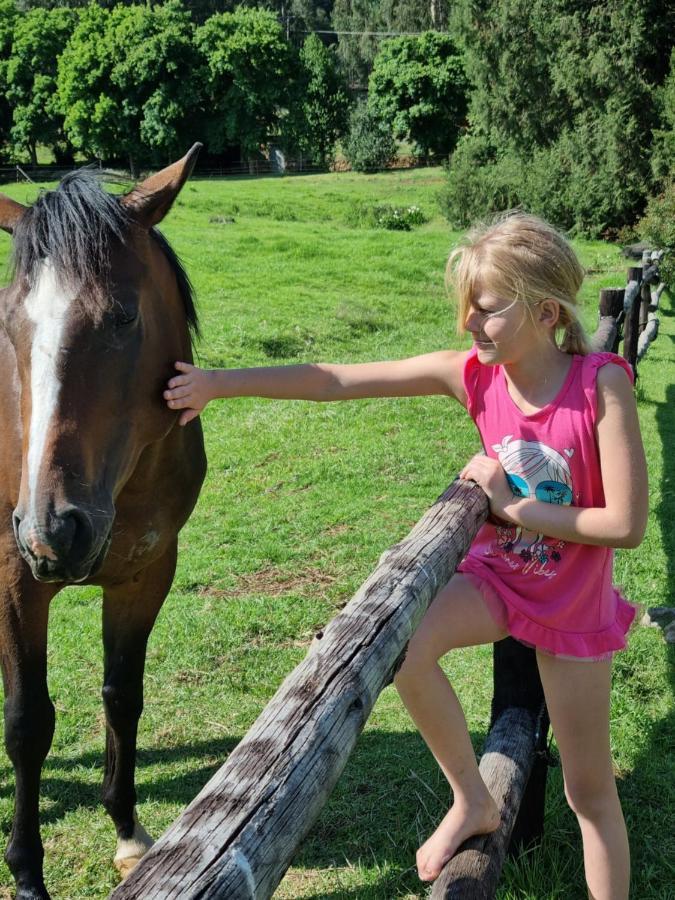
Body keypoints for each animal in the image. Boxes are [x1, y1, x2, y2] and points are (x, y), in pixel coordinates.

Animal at [0, 144, 207, 896]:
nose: (54, 530)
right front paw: (27, 872)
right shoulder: (15, 579)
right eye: (11, 323)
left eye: (122, 316)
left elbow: (123, 694)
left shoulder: (145, 575)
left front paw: (126, 830)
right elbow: (28, 723)